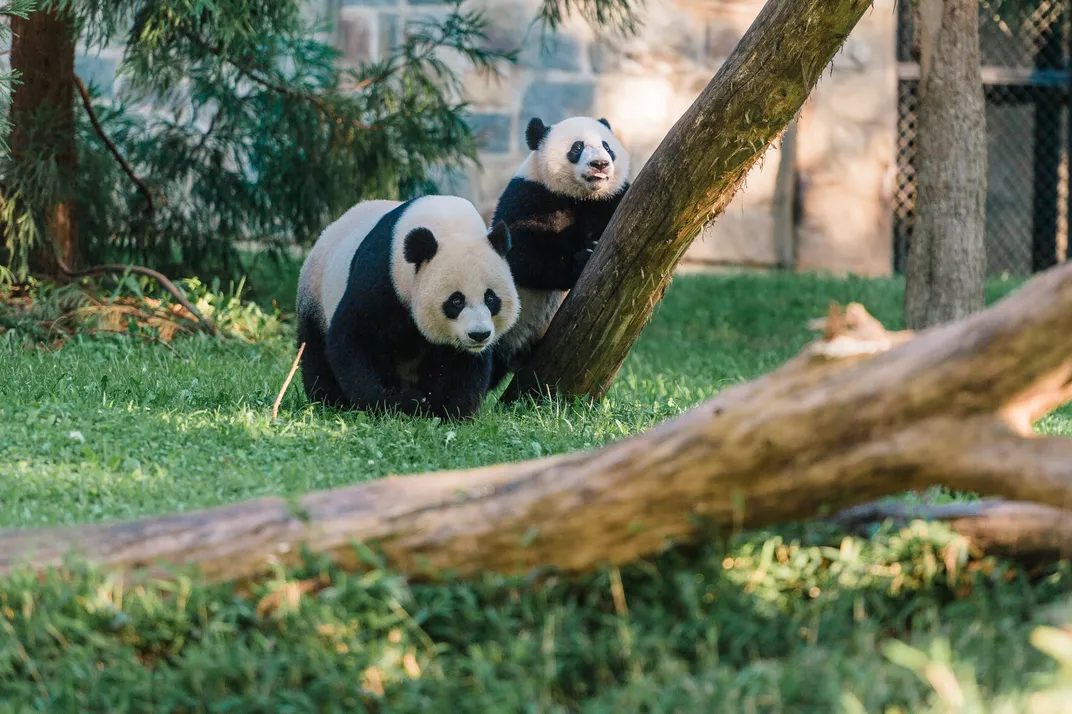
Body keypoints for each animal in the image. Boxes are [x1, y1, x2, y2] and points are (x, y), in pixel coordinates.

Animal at [295, 191, 520, 420]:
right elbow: (357, 340)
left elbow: (462, 365)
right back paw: (330, 402)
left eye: (490, 298)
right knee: (315, 352)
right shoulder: (381, 277)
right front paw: (402, 405)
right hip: (316, 293)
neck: (447, 223)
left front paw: (451, 411)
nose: (479, 334)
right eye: (456, 301)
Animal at [490, 115, 630, 390]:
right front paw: (583, 257)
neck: (581, 196)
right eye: (577, 147)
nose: (600, 164)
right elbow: (520, 254)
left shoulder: (608, 201)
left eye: (607, 146)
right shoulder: (530, 195)